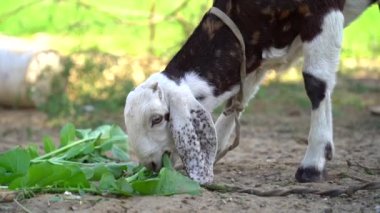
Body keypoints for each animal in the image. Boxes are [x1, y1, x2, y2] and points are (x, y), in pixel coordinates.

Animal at [124, 0, 378, 184]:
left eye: (157, 119)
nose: (151, 165)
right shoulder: (253, 51)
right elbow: (238, 98)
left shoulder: (323, 11)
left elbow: (316, 82)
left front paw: (313, 163)